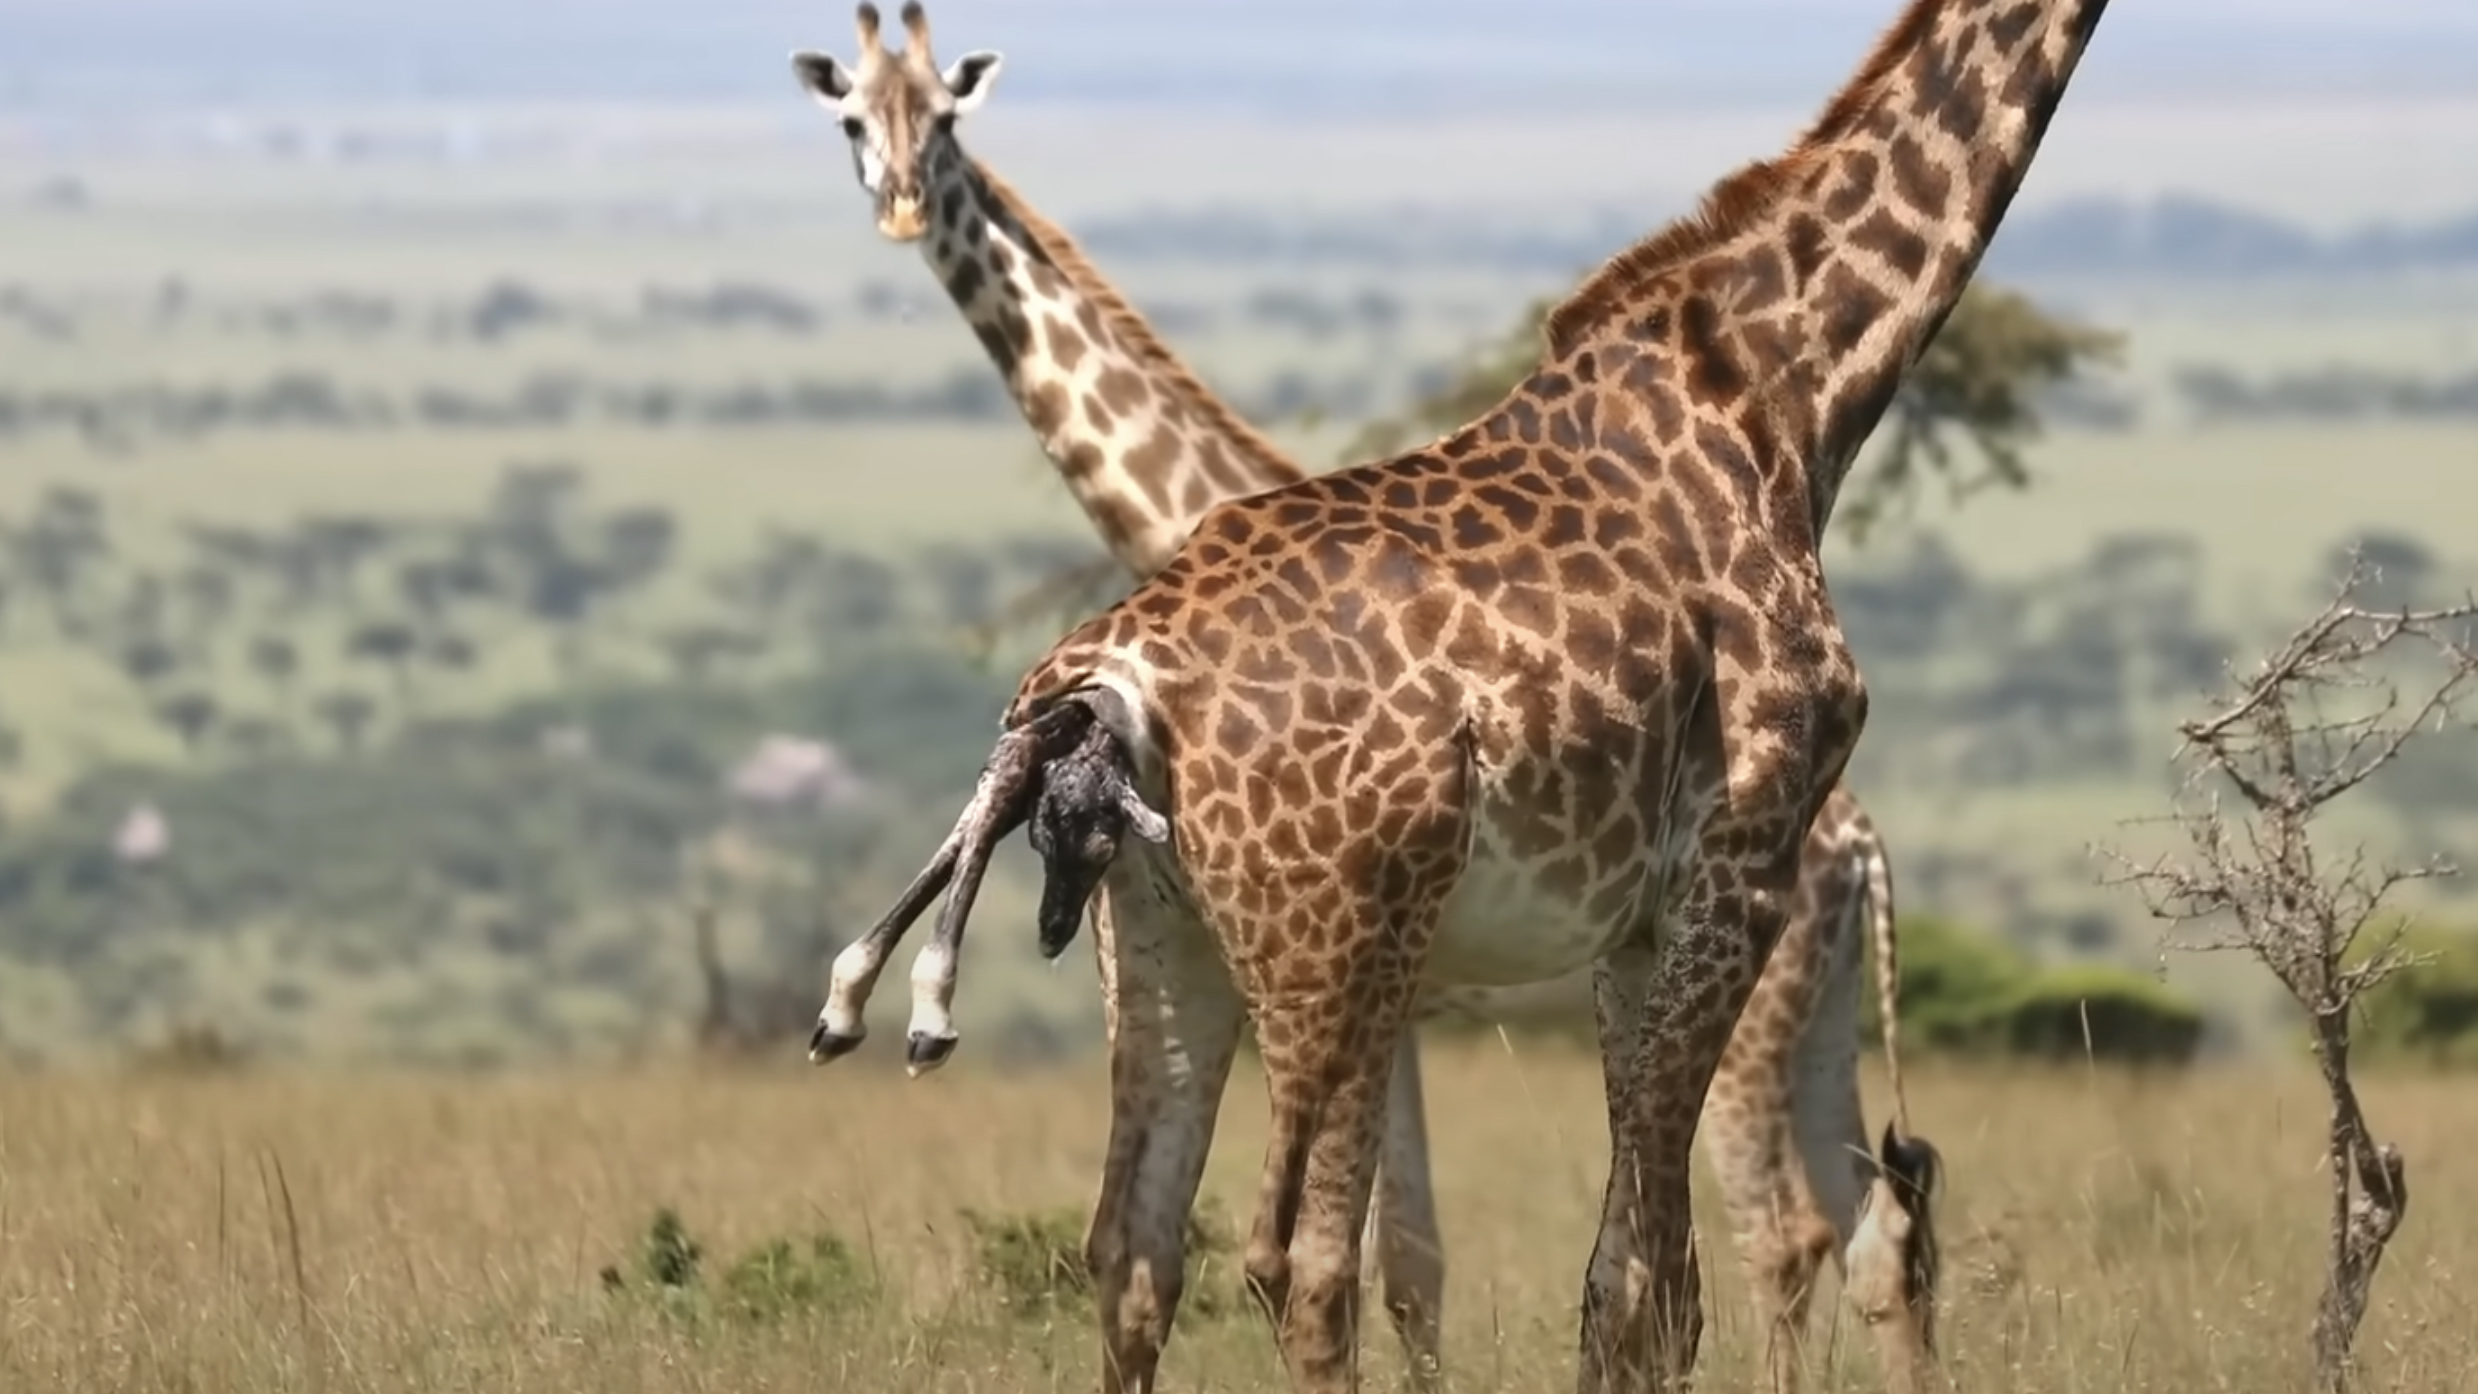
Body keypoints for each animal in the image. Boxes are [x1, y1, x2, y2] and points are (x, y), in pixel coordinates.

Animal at [783, 5, 1942, 1386]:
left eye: (943, 118)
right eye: (852, 118)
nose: (900, 206)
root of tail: (1866, 848)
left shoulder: (1386, 985)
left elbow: (1398, 1261)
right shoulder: (1394, 996)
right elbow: (1410, 1263)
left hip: (1747, 1003)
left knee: (1787, 1229)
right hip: (1812, 1019)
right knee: (1874, 1227)